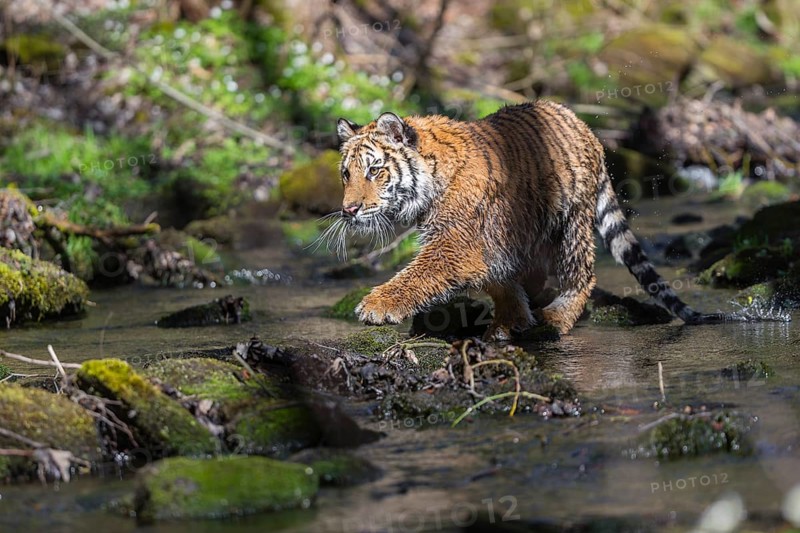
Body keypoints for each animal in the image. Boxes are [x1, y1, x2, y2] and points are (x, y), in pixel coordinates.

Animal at [332, 100, 730, 339]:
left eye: (375, 170)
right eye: (346, 174)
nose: (349, 210)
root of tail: (585, 127)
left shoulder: (455, 242)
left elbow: (416, 274)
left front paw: (376, 307)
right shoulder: (488, 244)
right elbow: (500, 281)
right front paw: (511, 321)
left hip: (572, 225)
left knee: (584, 275)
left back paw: (556, 319)